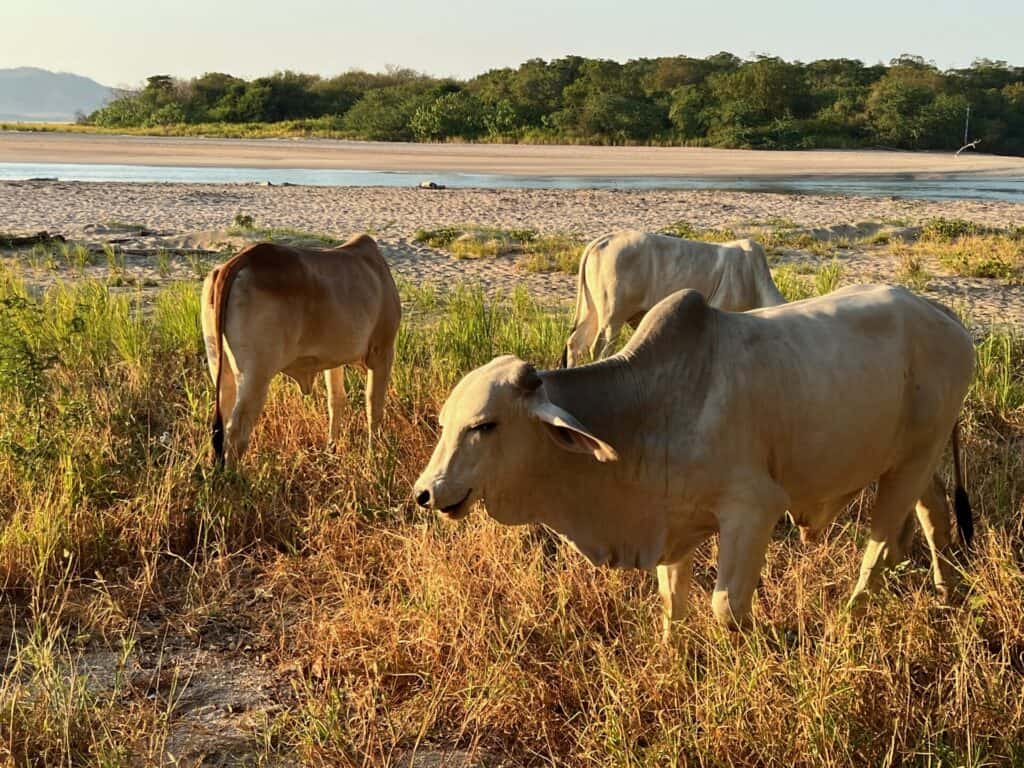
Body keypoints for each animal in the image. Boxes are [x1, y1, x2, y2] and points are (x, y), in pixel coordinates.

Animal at [201, 234, 401, 467]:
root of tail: (242, 259)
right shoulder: (382, 352)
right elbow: (374, 406)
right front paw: (375, 457)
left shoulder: (333, 361)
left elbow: (336, 400)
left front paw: (331, 450)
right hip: (255, 376)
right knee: (237, 431)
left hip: (220, 367)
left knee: (221, 424)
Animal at [415, 285, 974, 638]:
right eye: (444, 423)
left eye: (484, 425)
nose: (426, 493)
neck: (647, 409)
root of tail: (944, 315)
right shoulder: (667, 522)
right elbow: (672, 604)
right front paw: (672, 658)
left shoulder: (754, 509)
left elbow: (726, 607)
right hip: (910, 460)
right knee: (932, 514)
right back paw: (947, 591)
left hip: (912, 460)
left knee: (877, 550)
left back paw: (852, 619)